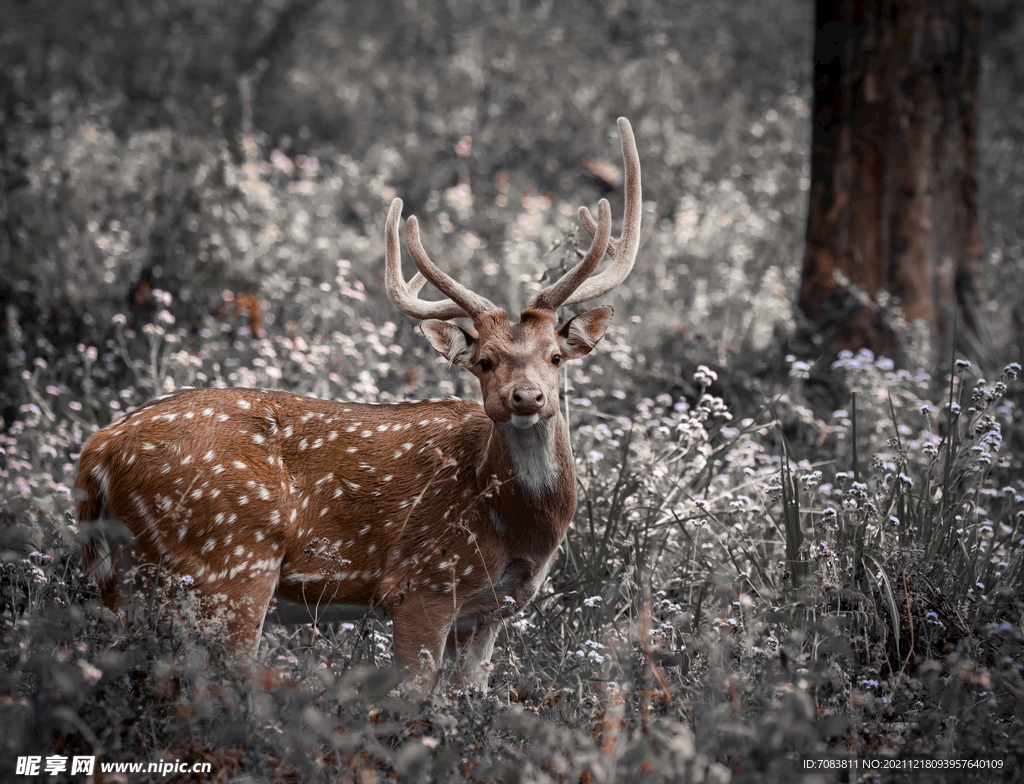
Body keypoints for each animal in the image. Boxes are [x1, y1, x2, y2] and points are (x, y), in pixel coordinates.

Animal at [77, 116, 638, 695]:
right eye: (484, 361)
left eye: (556, 356)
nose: (526, 396)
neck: (516, 530)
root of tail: (100, 449)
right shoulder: (422, 585)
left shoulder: (490, 611)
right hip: (230, 560)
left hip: (131, 572)